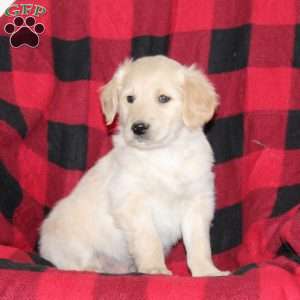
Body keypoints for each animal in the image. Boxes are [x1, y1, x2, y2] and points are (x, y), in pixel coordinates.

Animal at [38, 54, 229, 276]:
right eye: (130, 98)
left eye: (163, 98)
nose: (138, 127)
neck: (163, 154)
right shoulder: (132, 203)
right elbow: (149, 239)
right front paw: (155, 268)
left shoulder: (197, 201)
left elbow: (199, 244)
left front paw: (207, 271)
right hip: (68, 242)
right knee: (72, 262)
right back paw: (91, 267)